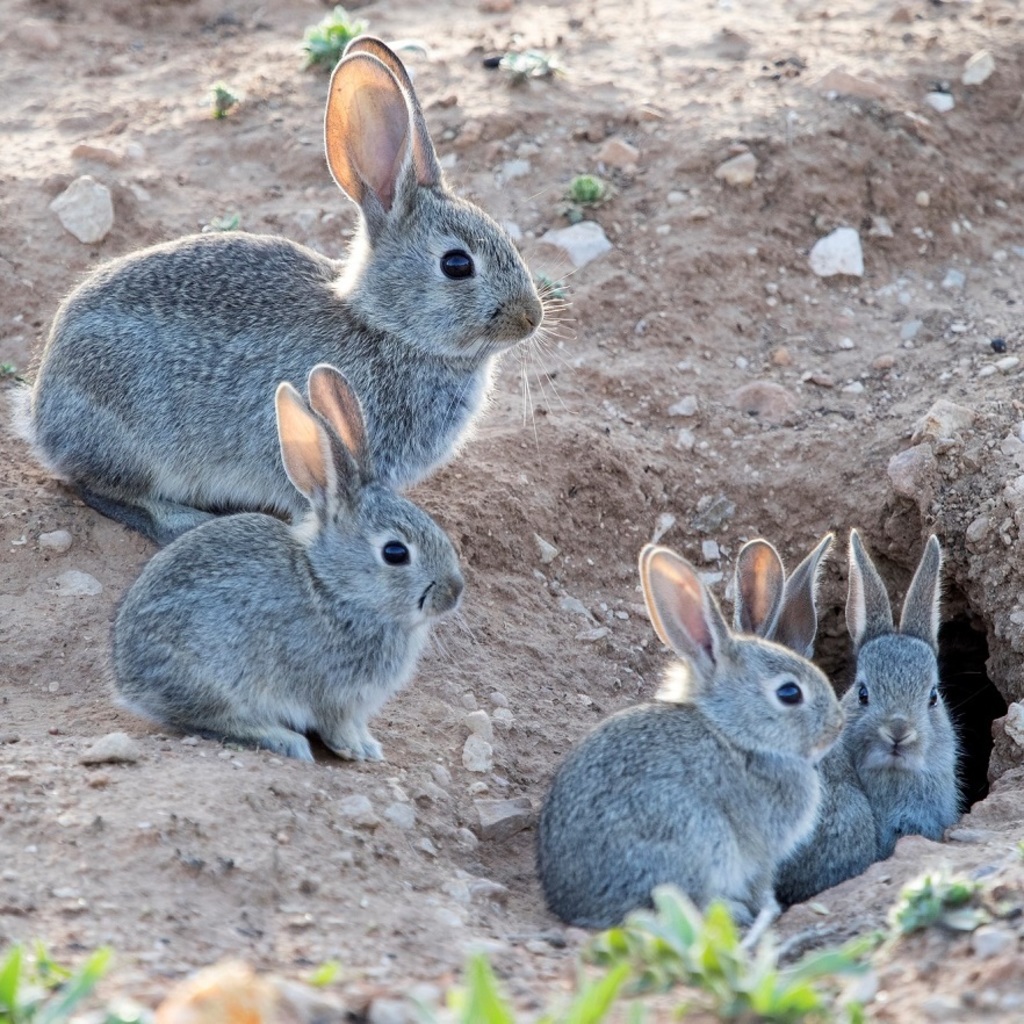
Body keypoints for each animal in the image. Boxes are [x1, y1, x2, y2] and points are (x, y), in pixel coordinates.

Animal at [15, 36, 544, 546]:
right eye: (457, 264)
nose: (531, 317)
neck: (385, 328)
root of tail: (41, 416)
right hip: (133, 439)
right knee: (100, 489)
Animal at [112, 363, 464, 763]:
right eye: (395, 553)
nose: (454, 592)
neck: (333, 588)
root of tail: (129, 679)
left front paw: (370, 745)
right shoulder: (333, 695)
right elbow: (337, 726)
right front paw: (358, 750)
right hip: (218, 679)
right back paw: (283, 740)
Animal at [536, 543, 844, 938]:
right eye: (789, 693)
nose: (837, 726)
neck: (736, 734)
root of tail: (578, 907)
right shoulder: (762, 851)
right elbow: (761, 882)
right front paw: (769, 909)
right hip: (697, 835)